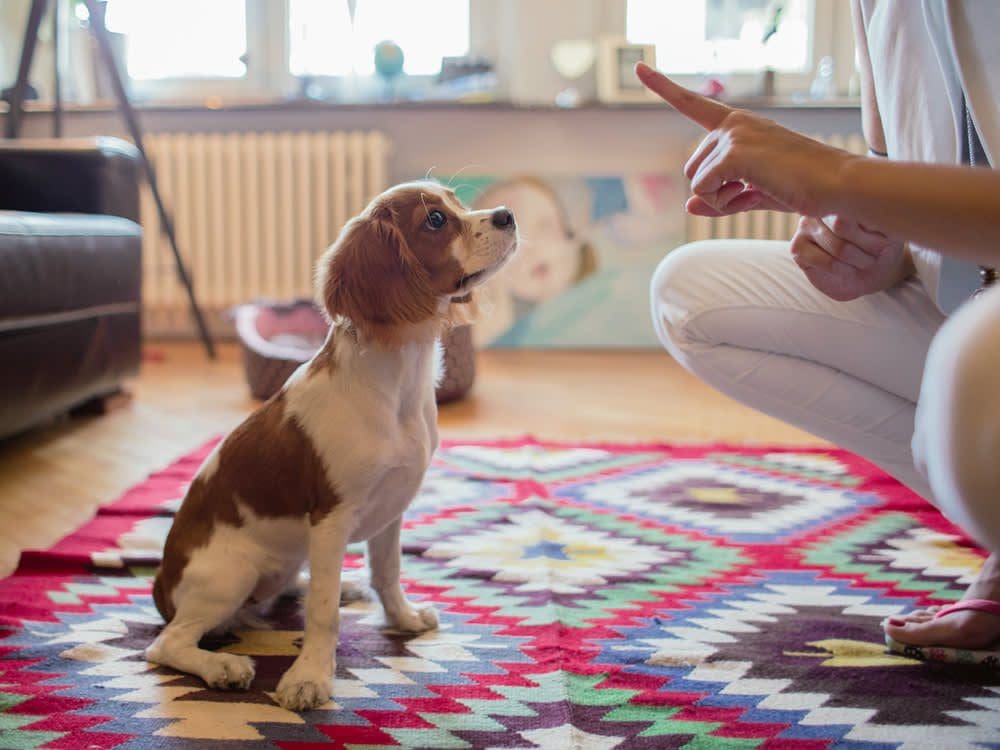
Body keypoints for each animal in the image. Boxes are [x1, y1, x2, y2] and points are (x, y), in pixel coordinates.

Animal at [150, 181, 524, 712]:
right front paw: (309, 679)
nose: (507, 214)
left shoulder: (392, 507)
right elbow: (323, 615)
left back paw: (340, 586)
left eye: (456, 200)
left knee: (292, 587)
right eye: (434, 220)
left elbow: (387, 572)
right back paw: (223, 666)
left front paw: (402, 620)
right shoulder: (331, 517)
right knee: (167, 644)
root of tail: (162, 583)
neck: (397, 382)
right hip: (230, 574)